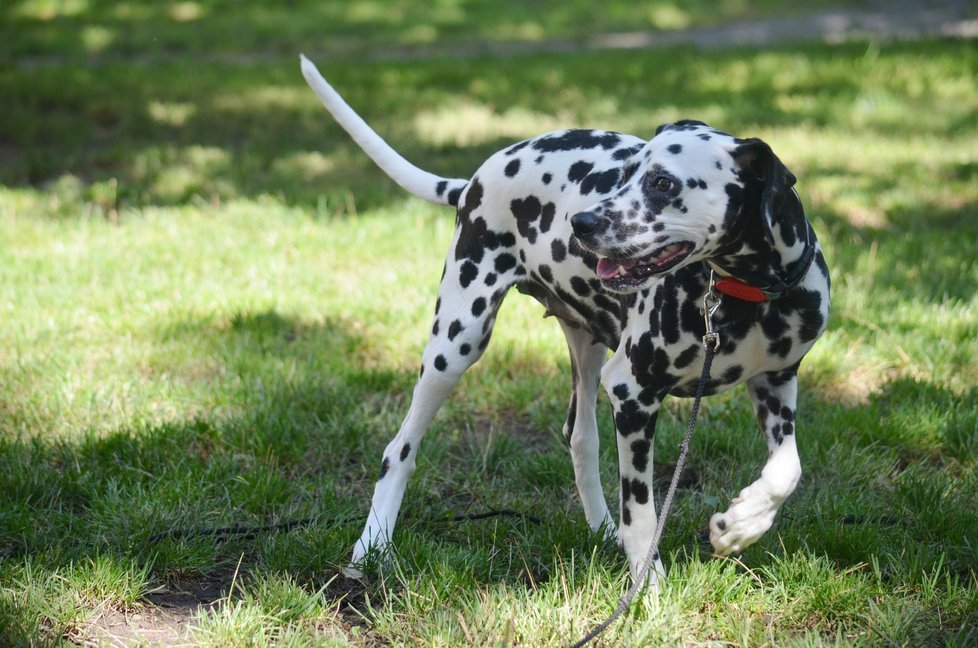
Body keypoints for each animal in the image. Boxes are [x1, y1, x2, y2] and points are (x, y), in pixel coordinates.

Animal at [296, 54, 824, 584]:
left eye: (663, 183)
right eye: (627, 172)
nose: (582, 224)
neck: (744, 297)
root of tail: (473, 180)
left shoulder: (777, 382)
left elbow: (789, 469)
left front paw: (742, 524)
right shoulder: (633, 392)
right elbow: (642, 512)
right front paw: (647, 585)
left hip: (588, 353)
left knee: (580, 438)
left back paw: (603, 533)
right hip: (456, 344)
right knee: (399, 450)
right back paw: (371, 546)